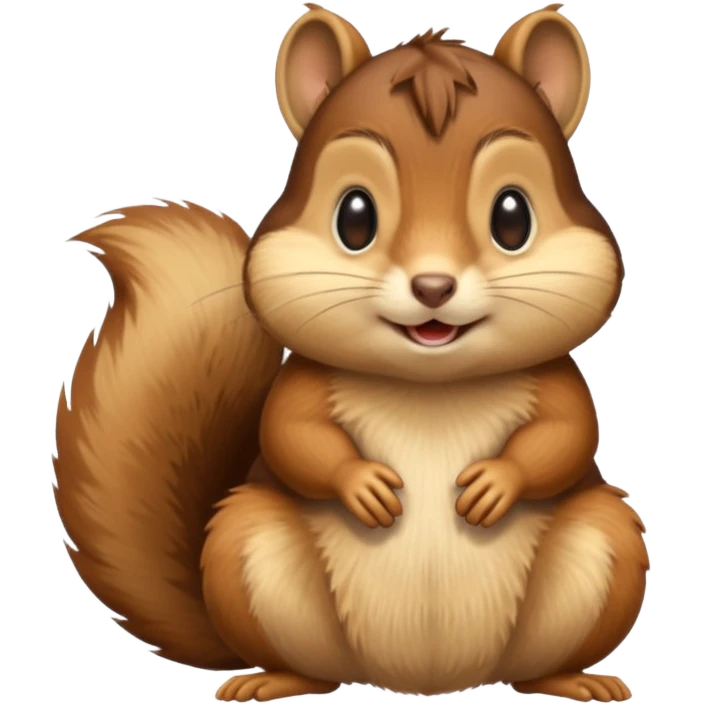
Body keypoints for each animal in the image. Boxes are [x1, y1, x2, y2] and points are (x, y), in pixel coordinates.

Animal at [52, 3, 649, 703]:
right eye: (354, 217)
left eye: (513, 217)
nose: (433, 286)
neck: (430, 386)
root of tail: (425, 678)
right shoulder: (305, 386)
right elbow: (291, 435)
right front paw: (365, 487)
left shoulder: (557, 383)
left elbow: (568, 433)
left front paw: (493, 485)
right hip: (247, 546)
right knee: (309, 665)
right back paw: (271, 679)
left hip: (602, 549)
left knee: (538, 662)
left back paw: (575, 679)